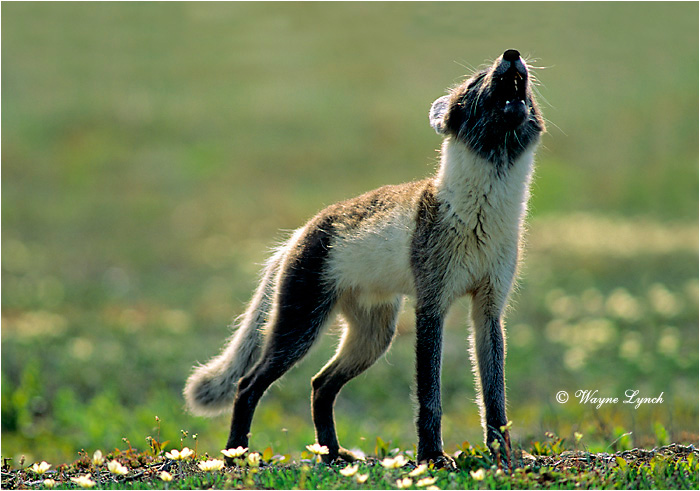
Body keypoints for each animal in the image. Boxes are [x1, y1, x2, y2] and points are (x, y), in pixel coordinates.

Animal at [184, 49, 545, 468]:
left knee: (320, 384)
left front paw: (504, 455)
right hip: (300, 326)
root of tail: (299, 234)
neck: (481, 219)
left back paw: (332, 453)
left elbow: (494, 397)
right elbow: (429, 396)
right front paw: (432, 457)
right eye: (476, 81)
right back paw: (236, 456)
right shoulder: (431, 302)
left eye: (527, 90)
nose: (512, 54)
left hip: (374, 335)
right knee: (249, 384)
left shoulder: (490, 306)